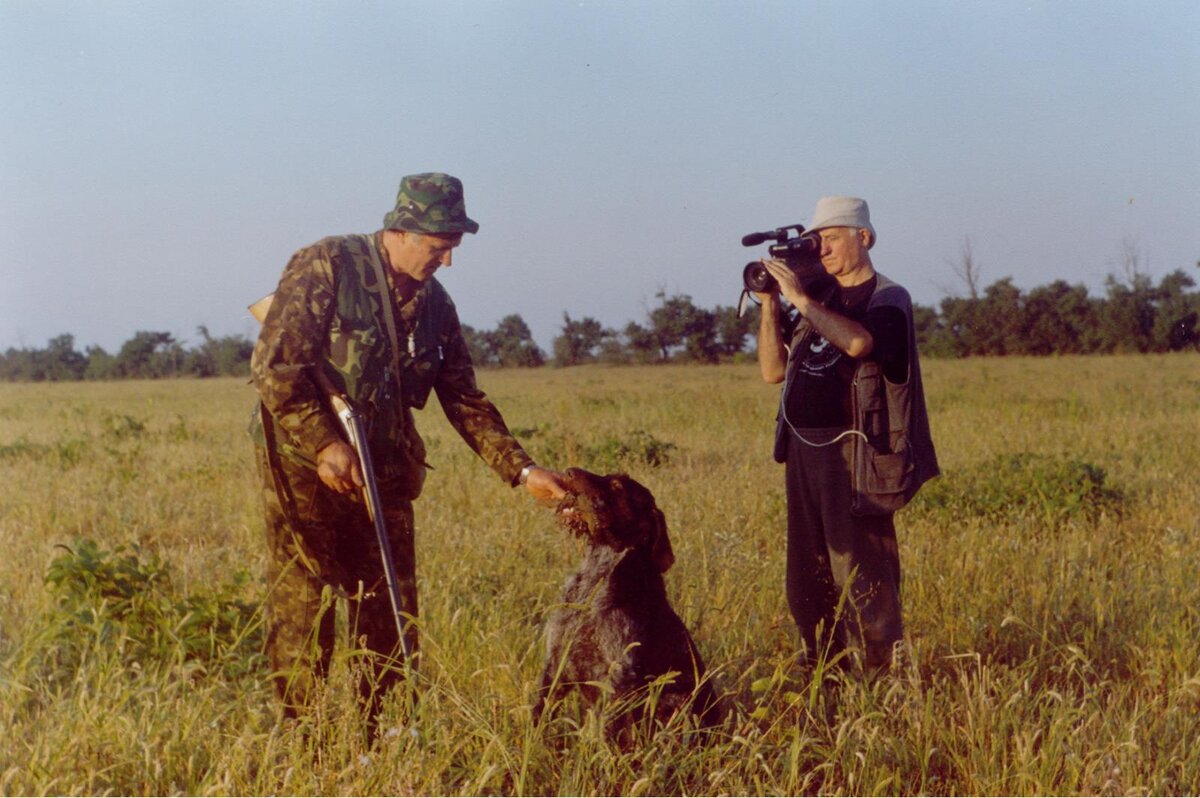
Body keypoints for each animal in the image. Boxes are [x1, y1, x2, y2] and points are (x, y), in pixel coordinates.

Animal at [535, 468, 720, 734]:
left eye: (617, 486)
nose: (569, 472)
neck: (596, 575)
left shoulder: (619, 679)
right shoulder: (556, 661)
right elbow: (539, 714)